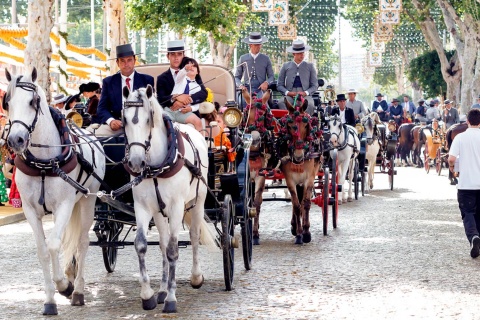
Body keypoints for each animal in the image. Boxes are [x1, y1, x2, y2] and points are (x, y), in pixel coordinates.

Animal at [4, 67, 105, 316]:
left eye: (33, 101)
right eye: (7, 102)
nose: (15, 140)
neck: (45, 163)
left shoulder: (64, 206)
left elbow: (53, 245)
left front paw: (64, 285)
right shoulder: (30, 209)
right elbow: (43, 249)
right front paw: (50, 299)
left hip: (87, 200)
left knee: (82, 242)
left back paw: (78, 290)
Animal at [122, 84, 216, 312]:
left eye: (149, 119)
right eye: (125, 120)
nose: (136, 162)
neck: (157, 167)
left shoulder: (176, 207)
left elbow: (173, 249)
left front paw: (172, 298)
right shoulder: (143, 207)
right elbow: (142, 245)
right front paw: (148, 294)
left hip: (197, 202)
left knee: (194, 235)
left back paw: (195, 277)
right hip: (159, 212)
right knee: (163, 243)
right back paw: (162, 290)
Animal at [278, 95, 322, 245]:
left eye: (306, 125)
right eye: (289, 126)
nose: (298, 155)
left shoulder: (310, 177)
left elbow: (306, 203)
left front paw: (306, 232)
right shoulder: (289, 178)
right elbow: (296, 205)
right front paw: (298, 234)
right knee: (295, 201)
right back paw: (294, 226)